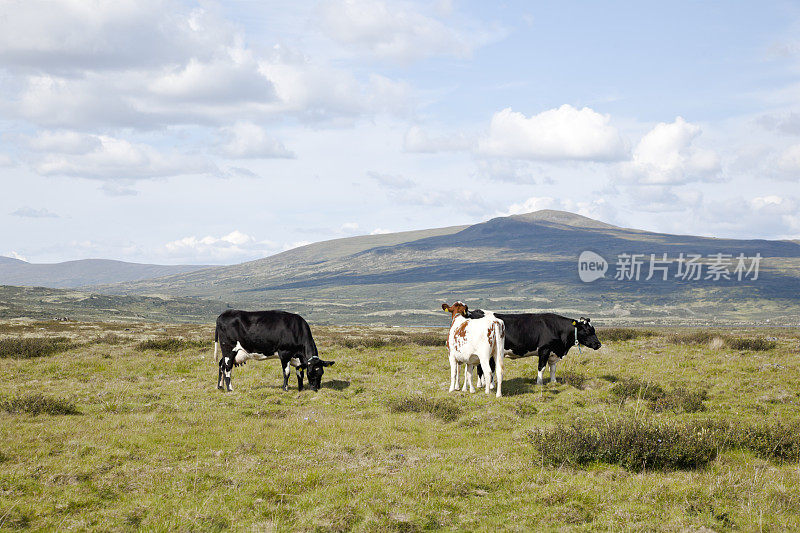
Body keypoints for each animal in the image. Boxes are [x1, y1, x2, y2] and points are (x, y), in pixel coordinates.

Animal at [468, 310, 600, 384]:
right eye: (587, 330)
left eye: (593, 329)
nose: (599, 344)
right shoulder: (544, 350)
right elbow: (541, 368)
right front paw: (539, 383)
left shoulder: (553, 353)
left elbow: (553, 369)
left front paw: (553, 382)